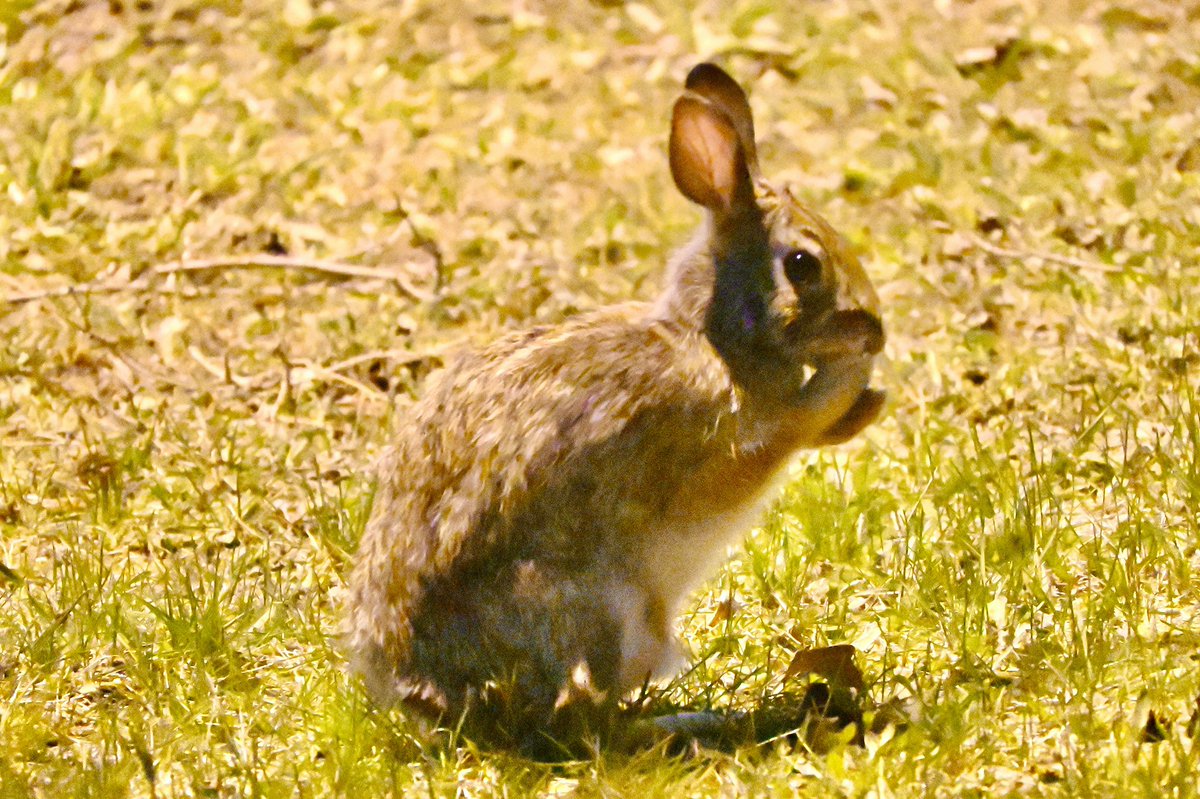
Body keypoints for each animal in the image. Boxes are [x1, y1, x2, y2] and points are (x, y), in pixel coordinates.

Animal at [343, 63, 888, 753]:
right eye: (802, 264)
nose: (875, 331)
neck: (711, 338)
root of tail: (417, 685)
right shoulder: (715, 450)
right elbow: (784, 432)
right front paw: (853, 388)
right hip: (610, 611)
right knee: (582, 720)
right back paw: (687, 724)